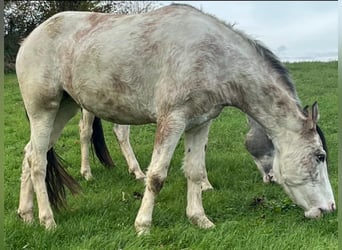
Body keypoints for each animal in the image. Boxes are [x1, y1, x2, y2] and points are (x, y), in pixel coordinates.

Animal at [15, 3, 334, 234]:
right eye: (319, 156)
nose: (329, 209)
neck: (212, 57)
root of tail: (29, 38)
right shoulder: (172, 120)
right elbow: (157, 175)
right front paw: (143, 226)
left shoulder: (200, 123)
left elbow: (194, 171)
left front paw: (200, 219)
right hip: (43, 110)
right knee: (39, 162)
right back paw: (47, 221)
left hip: (63, 109)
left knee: (30, 154)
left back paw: (26, 215)